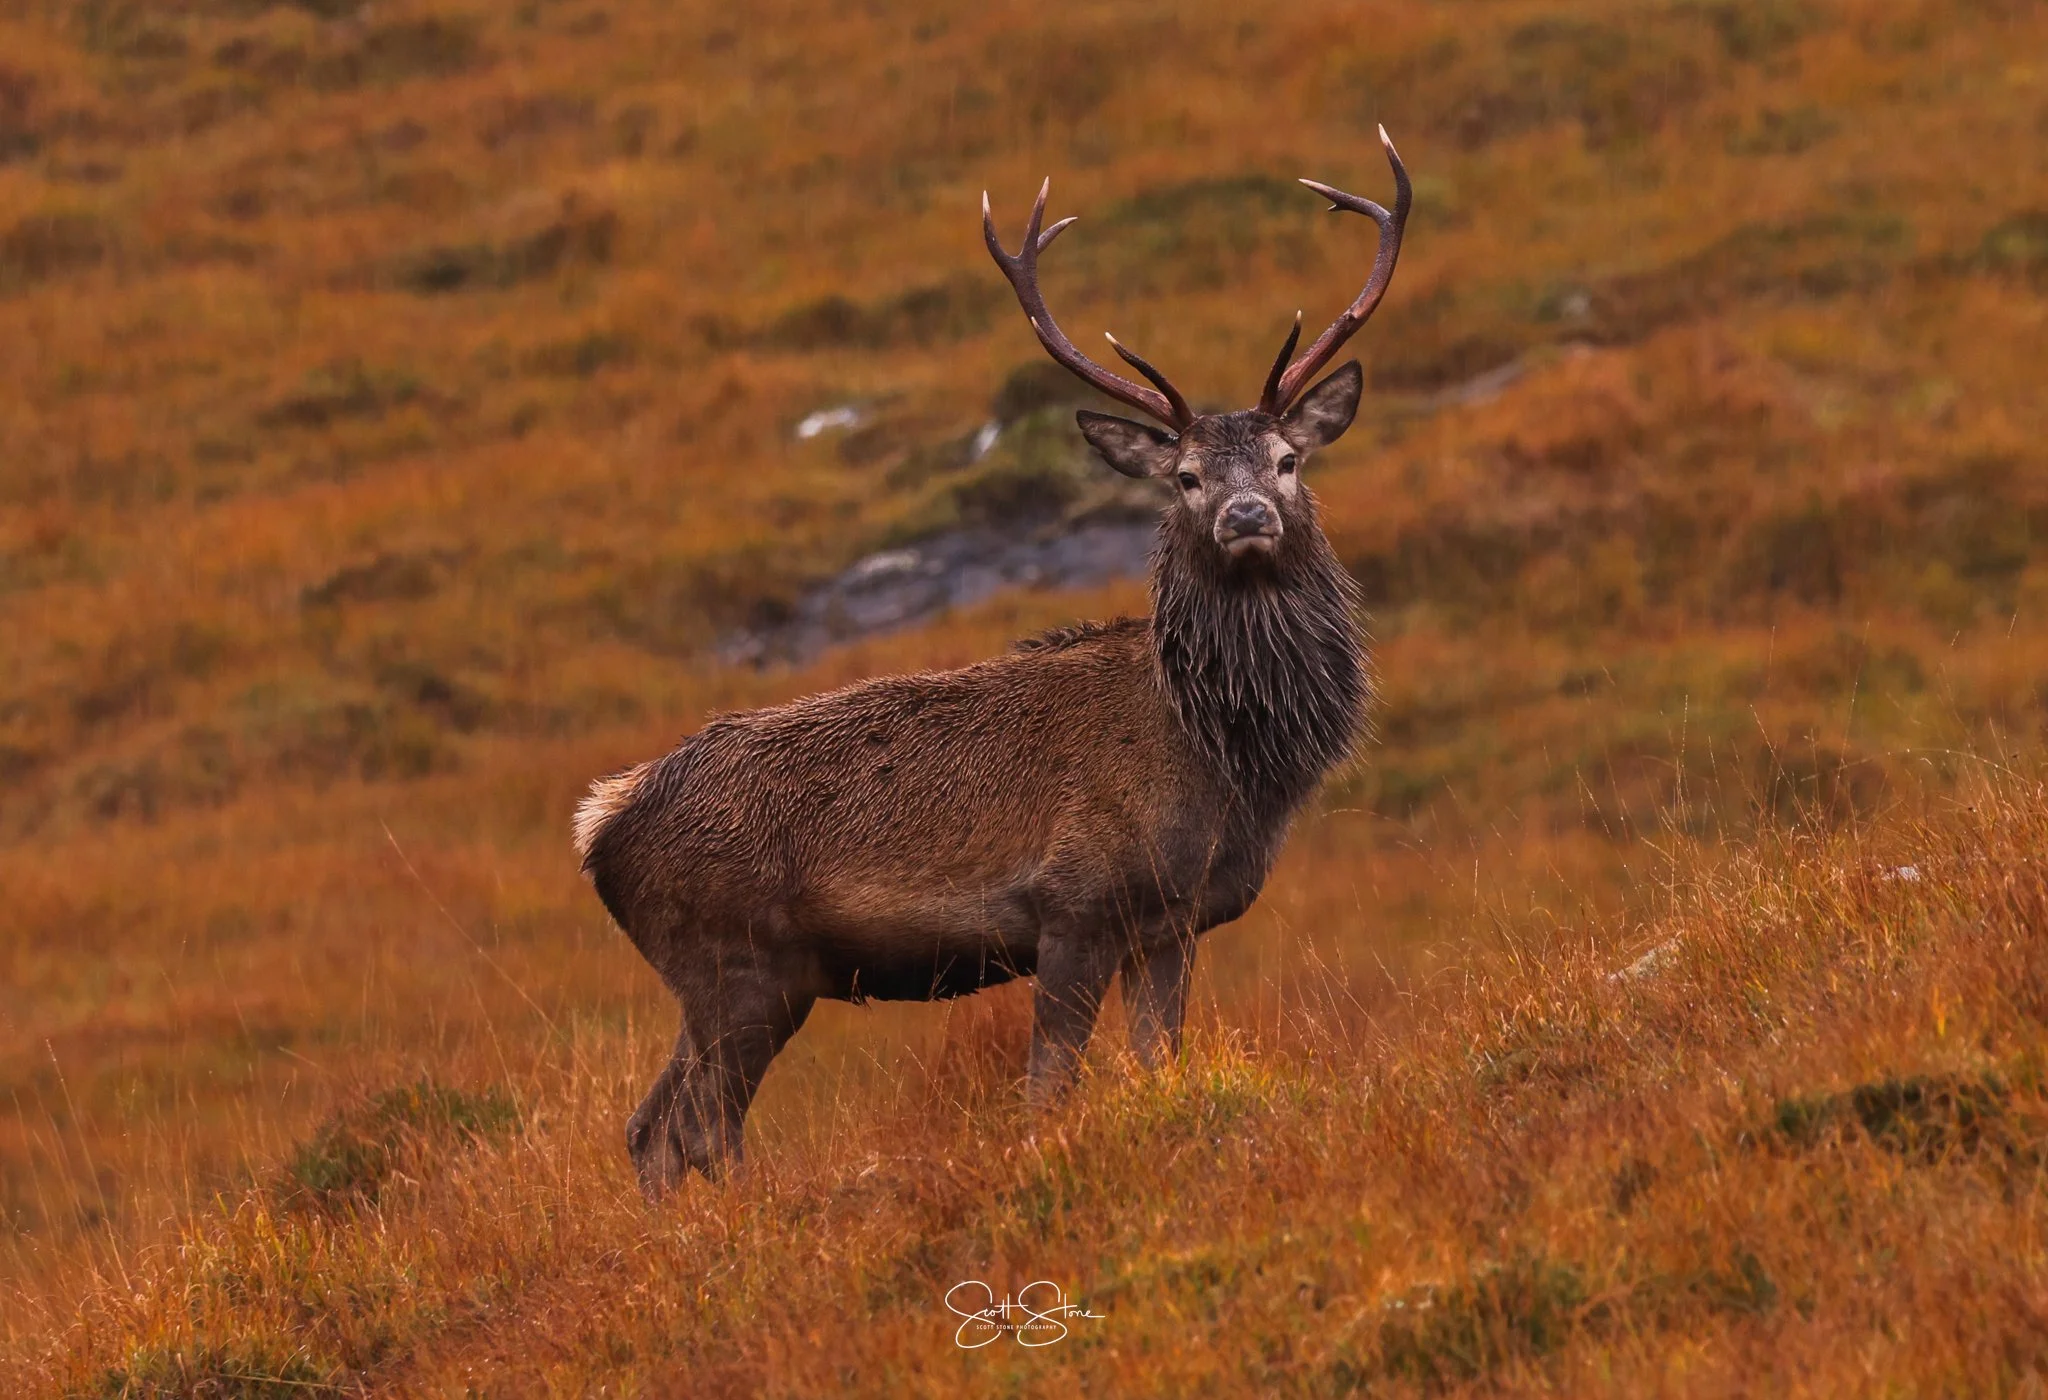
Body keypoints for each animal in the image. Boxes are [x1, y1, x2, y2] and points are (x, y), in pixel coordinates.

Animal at [577, 128, 1412, 1196]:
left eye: (1288, 460)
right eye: (1185, 476)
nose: (1246, 516)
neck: (1221, 756)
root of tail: (600, 827)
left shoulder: (1172, 922)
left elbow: (1161, 1067)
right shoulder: (1073, 906)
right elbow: (1046, 1091)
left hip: (738, 981)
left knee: (652, 1123)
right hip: (736, 965)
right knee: (698, 1126)